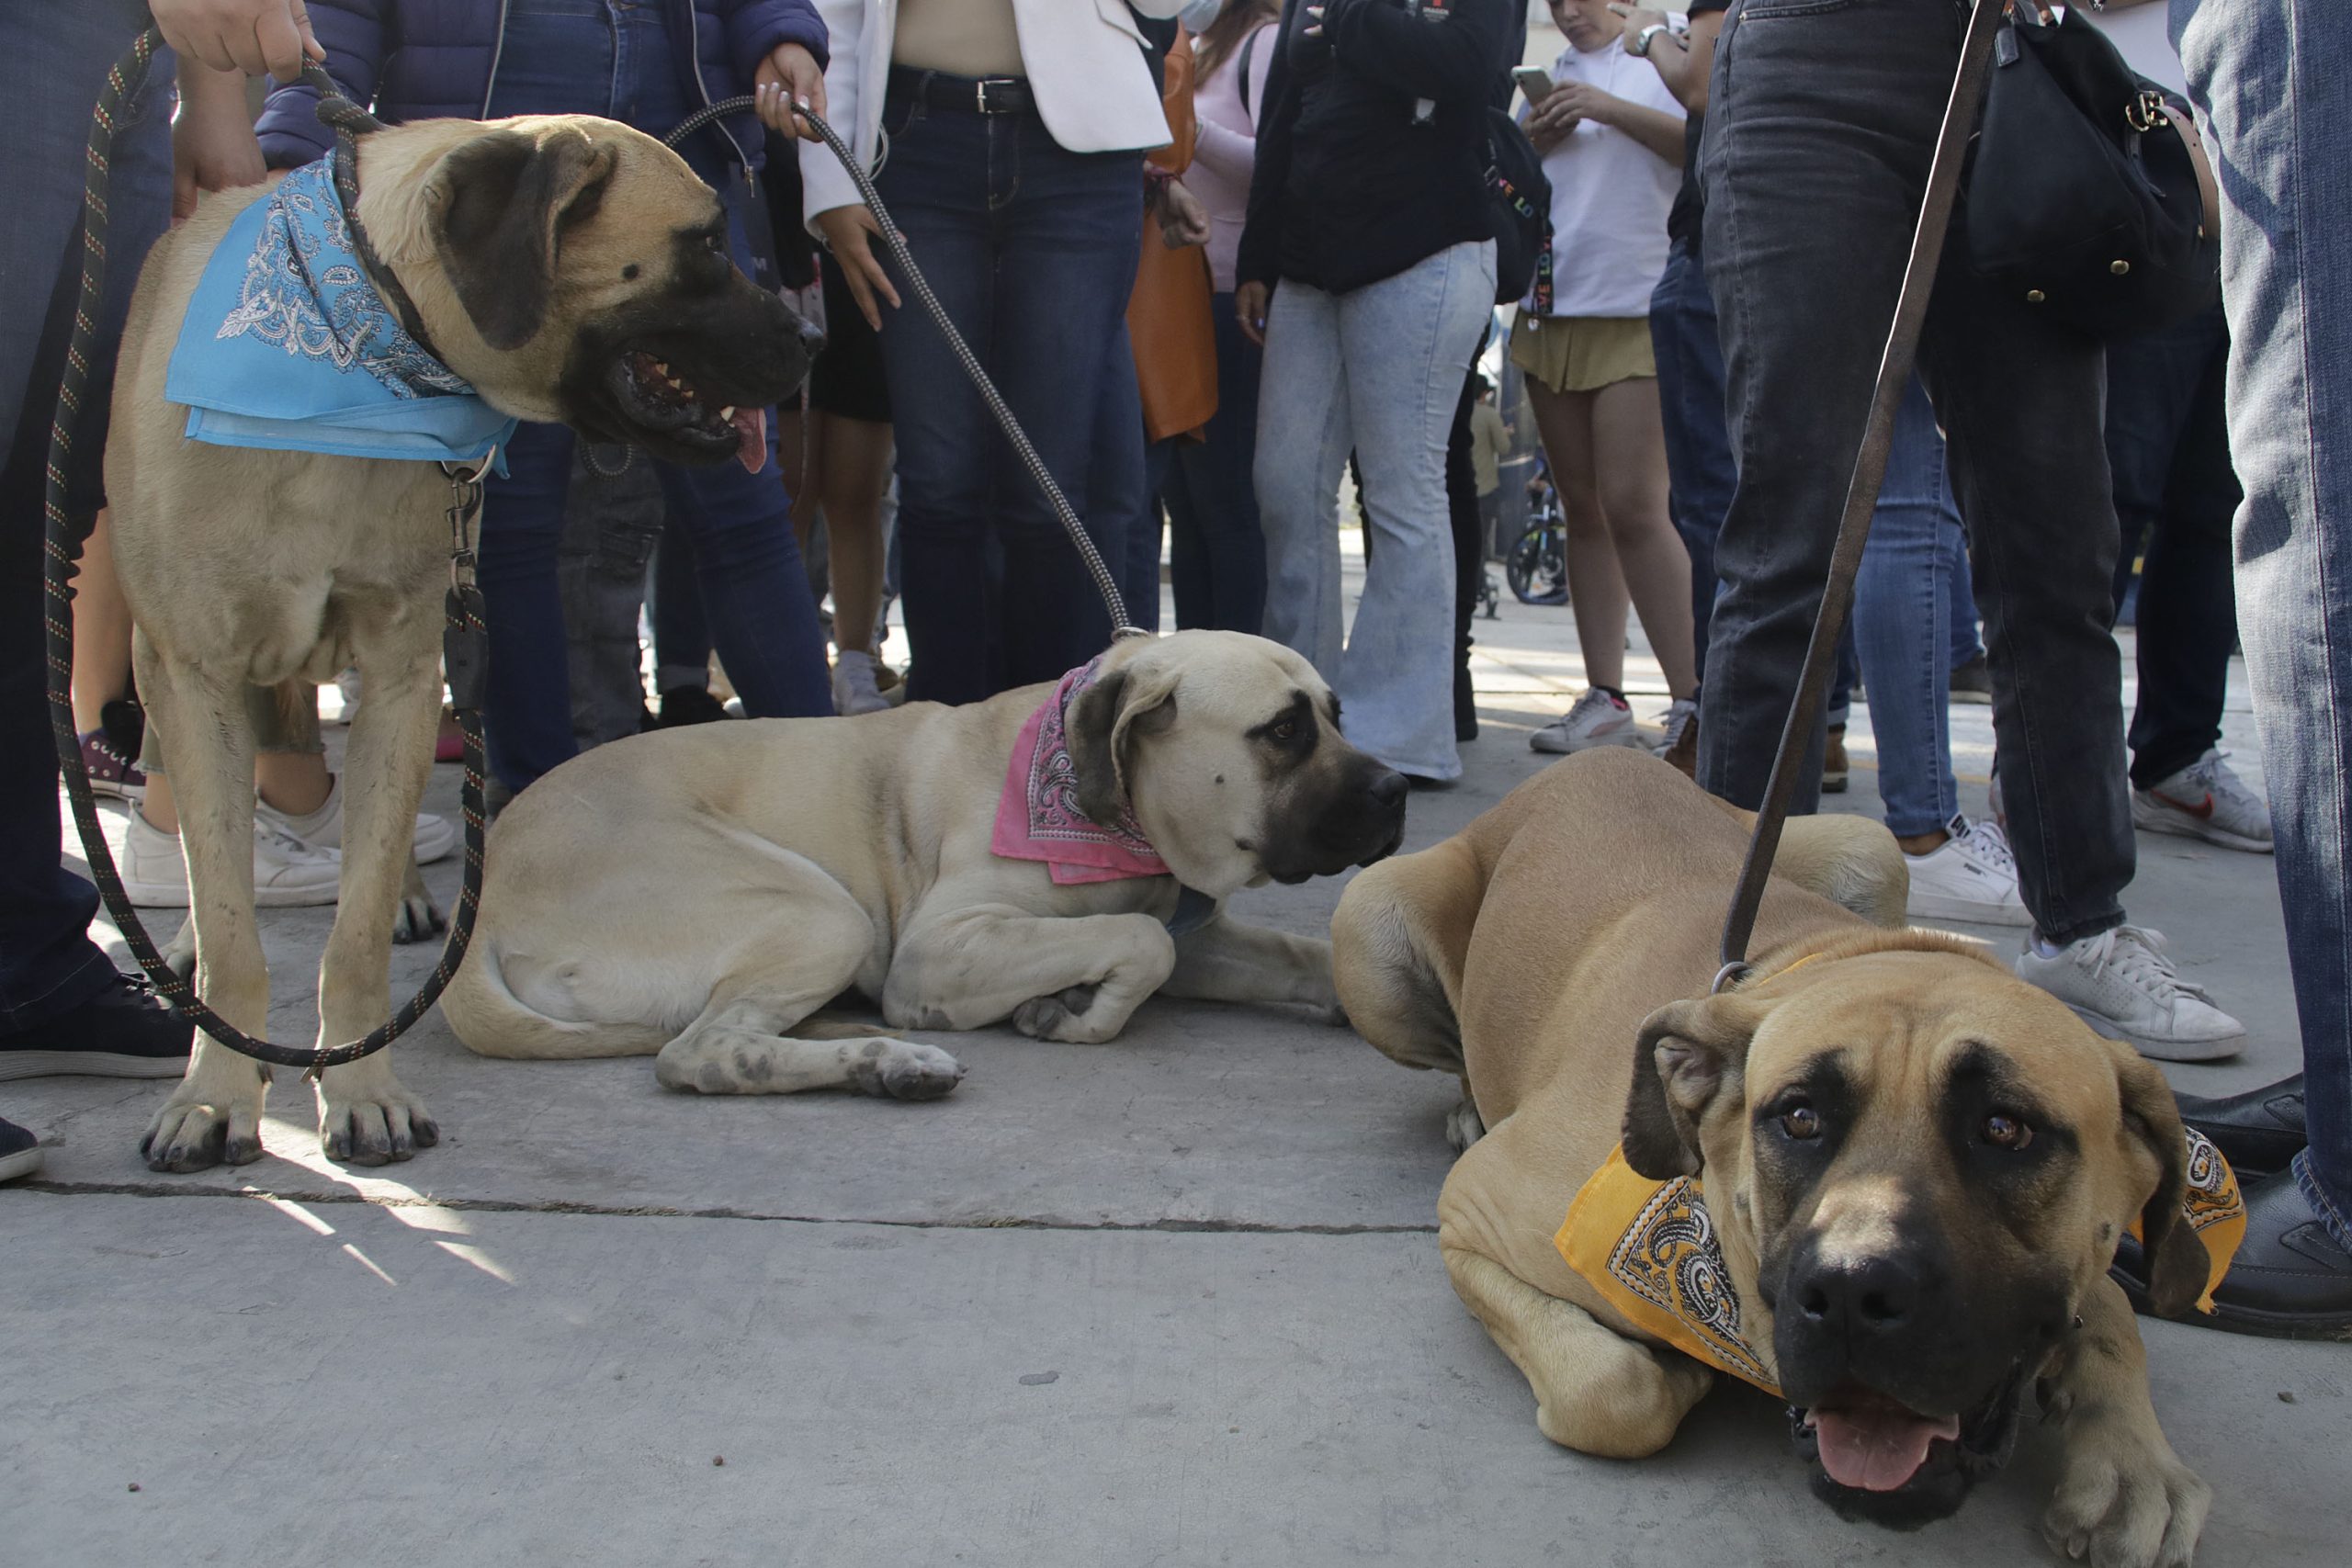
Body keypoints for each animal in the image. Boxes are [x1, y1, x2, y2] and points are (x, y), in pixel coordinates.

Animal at [442, 629, 1401, 1100]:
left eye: (1335, 712)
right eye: (1284, 730)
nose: (1395, 790)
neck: (1114, 813)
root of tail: (482, 905)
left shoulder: (1202, 936)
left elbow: (1297, 952)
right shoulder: (943, 946)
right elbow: (1140, 940)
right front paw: (1078, 1011)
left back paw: (882, 1059)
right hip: (822, 910)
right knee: (700, 1052)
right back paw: (890, 1058)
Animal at [1336, 747, 2229, 1568]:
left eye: (2006, 1129)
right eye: (1799, 1117)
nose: (1858, 1291)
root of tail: (1594, 757)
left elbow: (2109, 1310)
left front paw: (2132, 1464)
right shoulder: (1476, 1211)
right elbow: (1613, 1393)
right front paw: (1678, 1376)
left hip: (1868, 844)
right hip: (1367, 921)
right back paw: (1466, 1102)